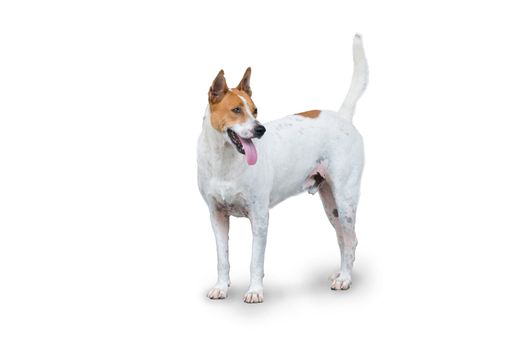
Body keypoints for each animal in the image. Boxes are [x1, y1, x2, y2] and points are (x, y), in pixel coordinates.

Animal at [198, 33, 368, 304]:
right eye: (236, 110)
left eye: (255, 110)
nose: (260, 129)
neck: (225, 160)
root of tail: (342, 117)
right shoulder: (217, 216)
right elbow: (222, 258)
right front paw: (221, 288)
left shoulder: (259, 217)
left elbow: (255, 261)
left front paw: (254, 291)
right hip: (331, 205)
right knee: (343, 239)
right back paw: (341, 273)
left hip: (345, 199)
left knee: (351, 240)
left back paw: (345, 279)